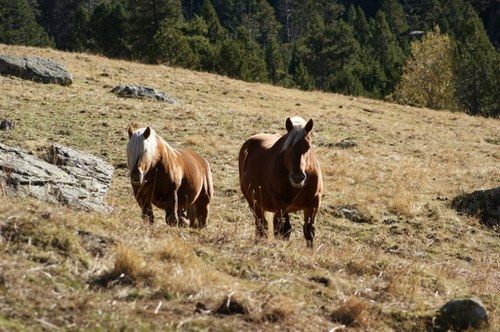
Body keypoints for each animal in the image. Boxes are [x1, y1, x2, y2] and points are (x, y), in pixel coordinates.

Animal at [239, 116, 324, 246]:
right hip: (254, 202)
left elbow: (309, 231)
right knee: (261, 225)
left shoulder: (313, 204)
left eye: (308, 146)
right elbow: (285, 230)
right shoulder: (280, 204)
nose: (298, 177)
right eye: (288, 146)